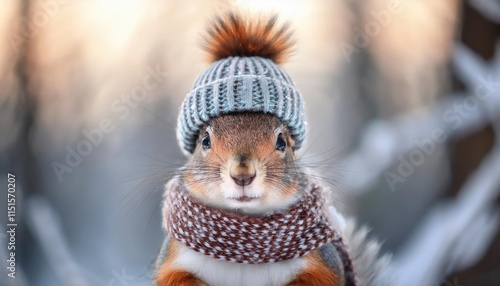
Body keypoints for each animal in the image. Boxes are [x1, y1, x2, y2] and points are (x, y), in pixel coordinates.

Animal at [154, 11, 392, 286]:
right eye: (205, 140)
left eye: (281, 141)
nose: (242, 175)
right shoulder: (173, 259)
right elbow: (175, 277)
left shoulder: (324, 264)